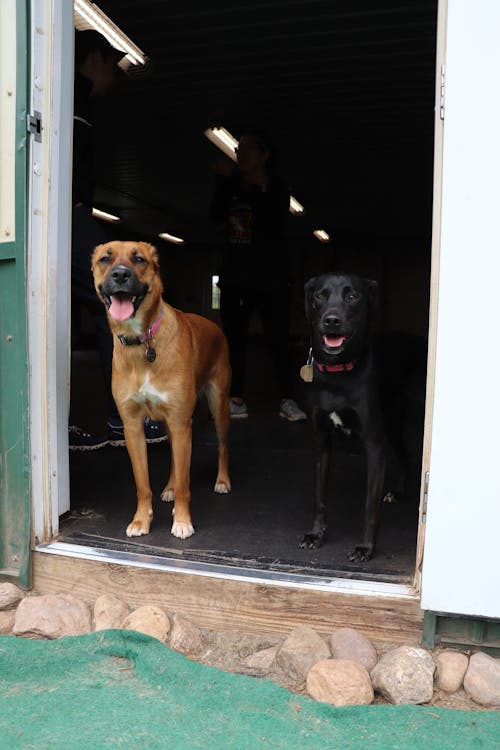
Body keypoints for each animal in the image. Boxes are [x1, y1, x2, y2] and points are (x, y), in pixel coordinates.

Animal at [91, 241, 231, 540]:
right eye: (105, 259)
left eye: (139, 260)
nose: (120, 275)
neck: (142, 341)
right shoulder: (133, 427)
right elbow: (143, 484)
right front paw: (141, 520)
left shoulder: (180, 422)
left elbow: (186, 485)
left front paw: (182, 521)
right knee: (175, 462)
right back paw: (169, 487)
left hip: (219, 406)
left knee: (223, 447)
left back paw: (223, 481)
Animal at [298, 274, 388, 560]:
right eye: (319, 295)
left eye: (353, 296)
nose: (331, 320)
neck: (337, 373)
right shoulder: (322, 441)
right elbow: (320, 496)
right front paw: (316, 534)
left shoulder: (375, 444)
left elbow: (370, 506)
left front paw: (365, 547)